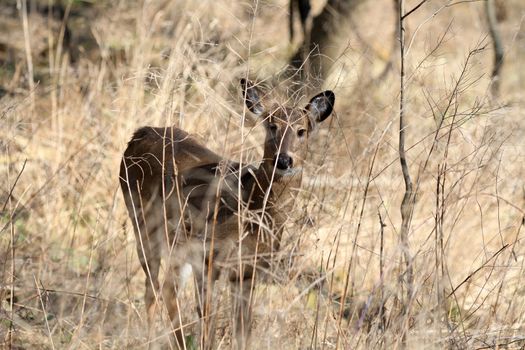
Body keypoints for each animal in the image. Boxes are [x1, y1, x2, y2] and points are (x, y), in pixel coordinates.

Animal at [118, 78, 334, 348]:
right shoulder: (209, 258)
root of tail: (138, 134)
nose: (283, 160)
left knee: (165, 290)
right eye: (271, 126)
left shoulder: (247, 272)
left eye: (301, 130)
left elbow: (243, 328)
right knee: (157, 291)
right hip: (146, 225)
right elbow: (207, 319)